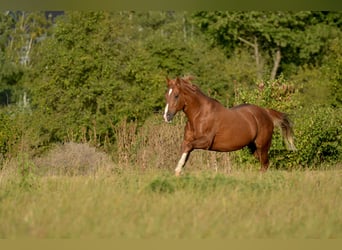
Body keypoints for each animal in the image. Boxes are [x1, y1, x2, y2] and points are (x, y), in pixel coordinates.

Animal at [164, 76, 296, 176]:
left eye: (176, 95)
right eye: (166, 95)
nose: (166, 116)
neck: (199, 115)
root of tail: (266, 112)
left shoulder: (206, 142)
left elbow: (188, 147)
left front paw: (177, 170)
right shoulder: (187, 140)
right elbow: (185, 149)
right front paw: (178, 170)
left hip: (262, 146)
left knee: (265, 164)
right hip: (254, 148)